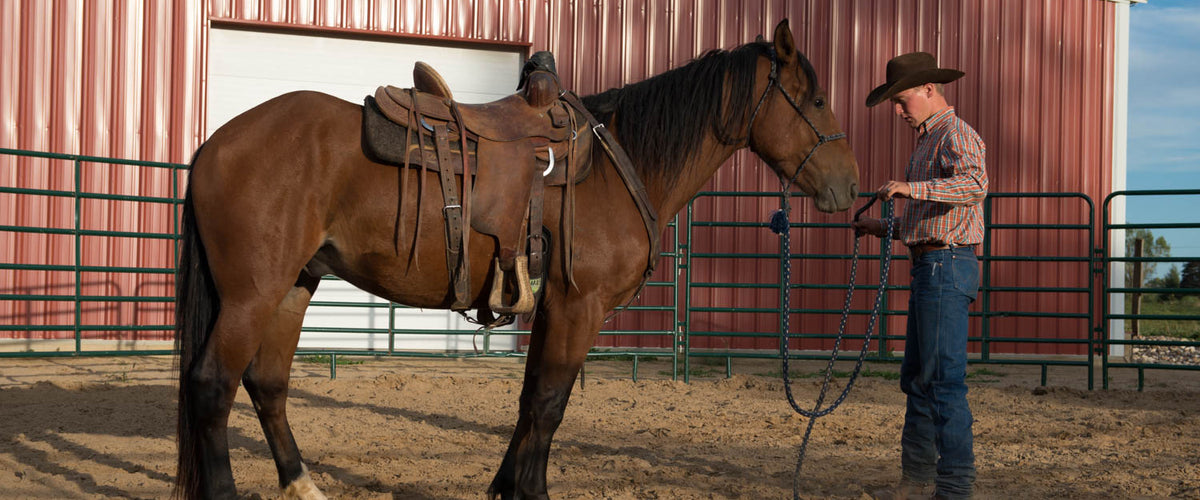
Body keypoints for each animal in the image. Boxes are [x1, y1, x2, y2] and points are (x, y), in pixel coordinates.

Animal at [174, 18, 859, 498]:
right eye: (816, 100)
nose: (849, 187)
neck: (621, 164)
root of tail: (216, 143)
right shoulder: (580, 307)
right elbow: (551, 403)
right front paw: (532, 491)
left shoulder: (552, 308)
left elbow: (532, 400)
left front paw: (507, 486)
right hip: (251, 295)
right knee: (212, 385)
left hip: (294, 285)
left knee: (266, 384)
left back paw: (302, 483)